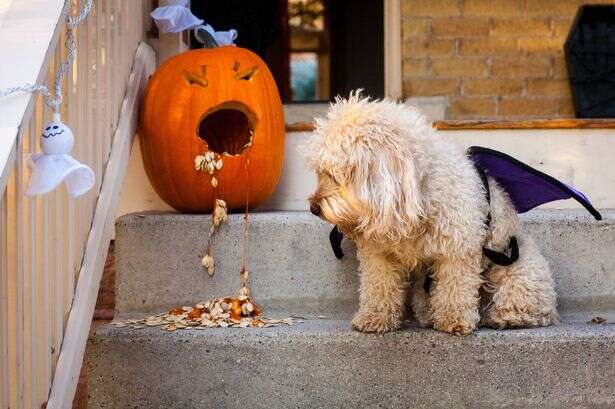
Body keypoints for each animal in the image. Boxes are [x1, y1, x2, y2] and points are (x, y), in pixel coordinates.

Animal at [306, 93, 560, 334]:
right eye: (320, 172)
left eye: (334, 174)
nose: (313, 207)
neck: (416, 195)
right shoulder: (380, 254)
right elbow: (379, 286)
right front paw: (374, 317)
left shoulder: (458, 250)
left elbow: (455, 288)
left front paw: (454, 320)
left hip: (519, 270)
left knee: (529, 303)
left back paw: (505, 316)